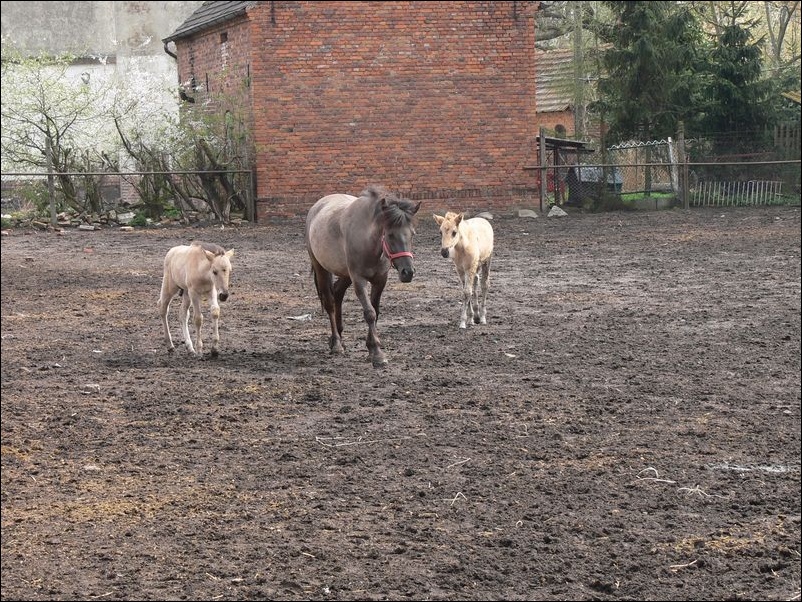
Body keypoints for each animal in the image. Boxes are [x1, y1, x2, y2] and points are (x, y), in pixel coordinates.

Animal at [305, 185, 421, 367]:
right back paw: (336, 343)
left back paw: (338, 337)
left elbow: (376, 311)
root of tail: (316, 207)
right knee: (330, 302)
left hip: (345, 273)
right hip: (321, 268)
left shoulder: (380, 280)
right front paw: (377, 353)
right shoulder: (359, 280)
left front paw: (372, 348)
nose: (407, 272)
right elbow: (369, 313)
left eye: (412, 234)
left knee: (338, 293)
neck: (369, 242)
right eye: (390, 235)